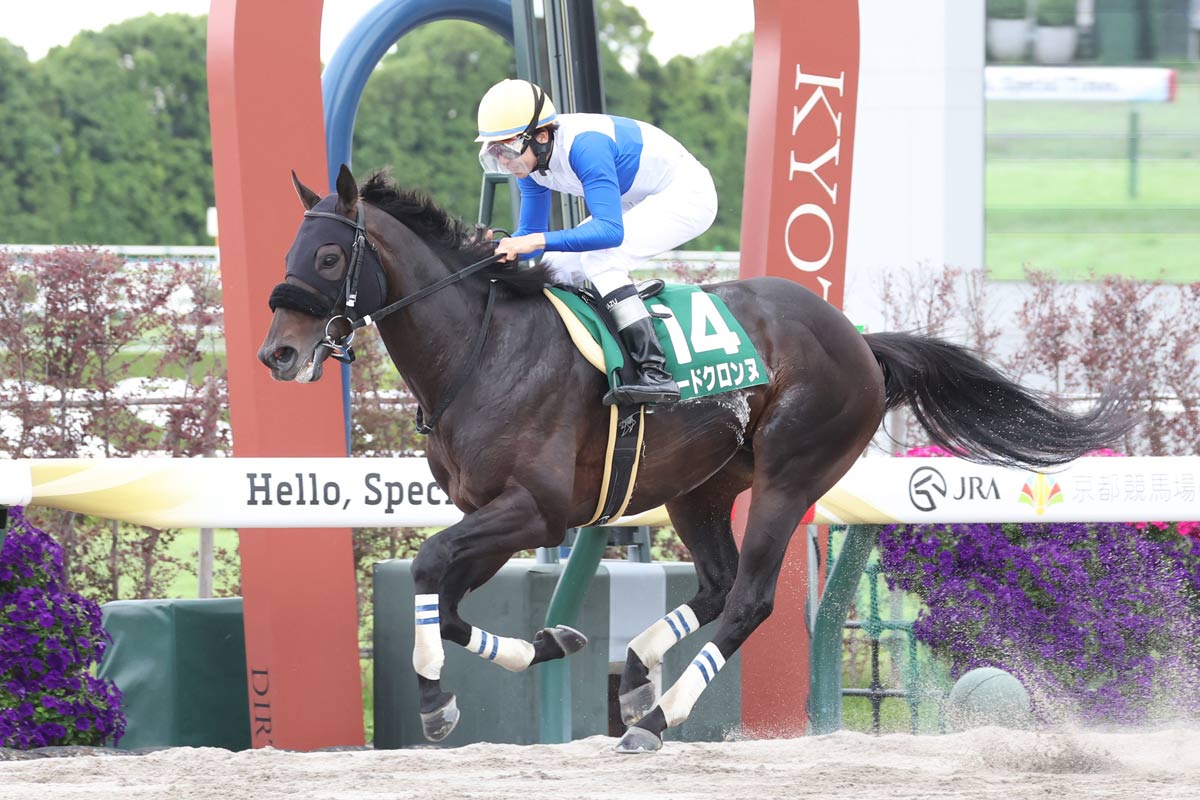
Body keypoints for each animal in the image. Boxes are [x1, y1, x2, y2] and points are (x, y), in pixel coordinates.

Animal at [259, 165, 1129, 753]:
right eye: (293, 248)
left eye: (330, 259)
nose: (277, 353)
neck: (482, 349)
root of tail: (861, 342)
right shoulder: (493, 513)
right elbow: (446, 596)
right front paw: (553, 643)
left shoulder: (534, 509)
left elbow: (432, 568)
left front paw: (437, 703)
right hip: (699, 485)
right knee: (713, 585)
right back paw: (641, 676)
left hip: (790, 475)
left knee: (747, 599)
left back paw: (659, 717)